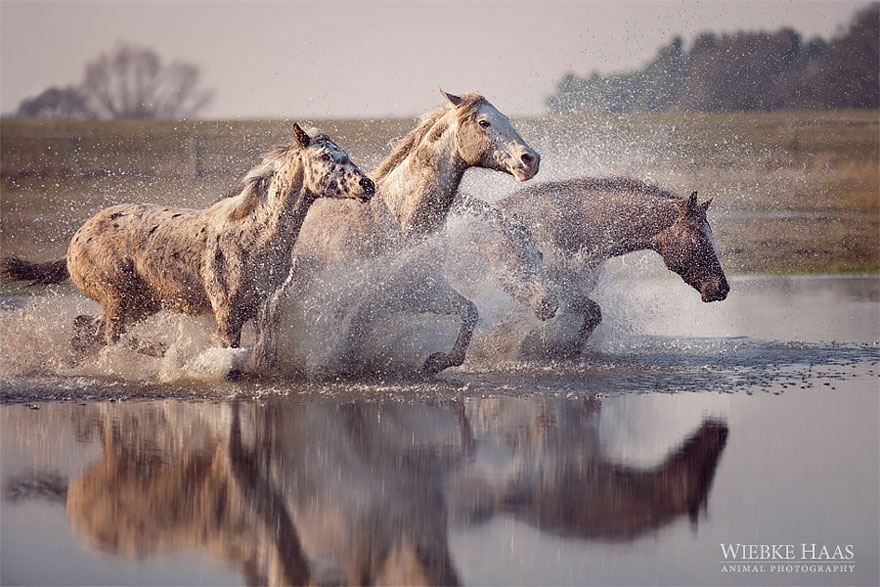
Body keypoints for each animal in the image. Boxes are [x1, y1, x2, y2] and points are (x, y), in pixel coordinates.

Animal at [1, 124, 375, 354]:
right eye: (325, 156)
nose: (367, 185)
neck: (255, 235)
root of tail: (77, 239)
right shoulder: (226, 313)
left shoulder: (264, 309)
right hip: (119, 299)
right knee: (109, 335)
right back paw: (170, 354)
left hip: (141, 303)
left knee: (87, 329)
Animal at [253, 91, 551, 376]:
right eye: (483, 122)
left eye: (539, 255)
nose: (531, 160)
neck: (398, 218)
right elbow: (348, 339)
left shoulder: (421, 292)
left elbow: (470, 312)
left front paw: (436, 362)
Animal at [496, 177, 730, 358]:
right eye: (697, 240)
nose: (722, 288)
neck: (573, 226)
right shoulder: (554, 287)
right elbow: (592, 312)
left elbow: (590, 315)